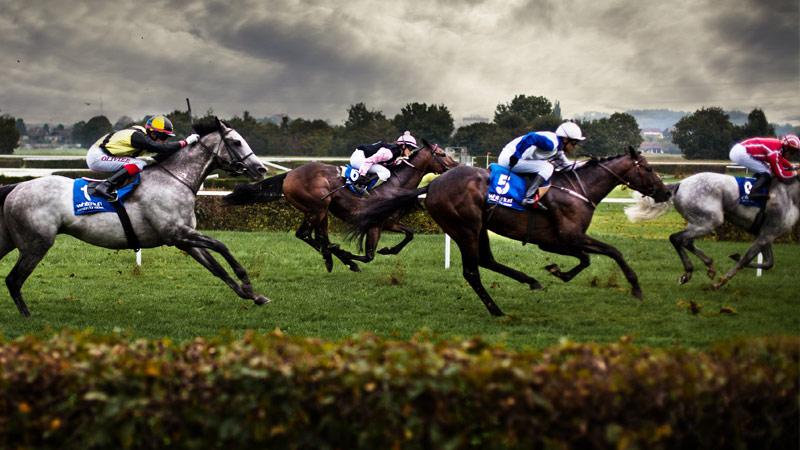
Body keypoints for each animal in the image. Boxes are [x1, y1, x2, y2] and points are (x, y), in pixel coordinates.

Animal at [0, 118, 268, 316]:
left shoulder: (185, 240)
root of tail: (16, 187)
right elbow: (222, 246)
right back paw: (27, 316)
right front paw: (247, 282)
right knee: (13, 280)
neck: (174, 180)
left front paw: (253, 295)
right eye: (236, 142)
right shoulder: (176, 233)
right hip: (36, 243)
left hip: (12, 240)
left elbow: (217, 268)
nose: (261, 169)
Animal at [223, 140, 456, 270]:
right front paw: (349, 255)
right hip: (318, 206)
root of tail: (290, 174)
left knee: (318, 237)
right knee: (306, 235)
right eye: (442, 154)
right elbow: (368, 255)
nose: (456, 166)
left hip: (320, 211)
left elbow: (409, 234)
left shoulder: (387, 222)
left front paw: (388, 250)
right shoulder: (373, 224)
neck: (396, 185)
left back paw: (332, 258)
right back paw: (336, 257)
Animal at [354, 148, 672, 316]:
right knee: (472, 271)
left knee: (486, 261)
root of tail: (431, 185)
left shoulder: (557, 241)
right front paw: (636, 287)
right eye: (647, 168)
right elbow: (610, 251)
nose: (666, 191)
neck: (577, 189)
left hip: (479, 227)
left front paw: (557, 271)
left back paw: (530, 281)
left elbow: (585, 258)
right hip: (465, 227)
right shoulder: (567, 237)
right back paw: (496, 309)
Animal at [628, 172, 796, 288]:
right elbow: (750, 259)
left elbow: (768, 263)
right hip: (710, 220)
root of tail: (681, 183)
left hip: (697, 221)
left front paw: (734, 259)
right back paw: (690, 271)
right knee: (677, 238)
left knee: (686, 241)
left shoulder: (764, 232)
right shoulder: (769, 232)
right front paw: (724, 277)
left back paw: (708, 266)